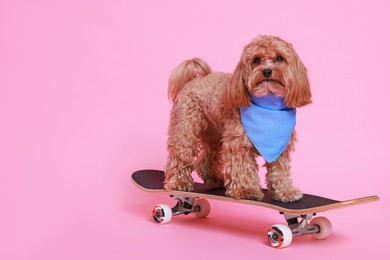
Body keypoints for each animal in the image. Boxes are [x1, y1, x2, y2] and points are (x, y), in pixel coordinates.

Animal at [163, 34, 312, 202]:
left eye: (279, 58)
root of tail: (193, 79)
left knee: (206, 159)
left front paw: (286, 191)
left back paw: (214, 179)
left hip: (214, 134)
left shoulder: (280, 147)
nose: (267, 71)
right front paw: (246, 190)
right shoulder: (238, 143)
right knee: (180, 154)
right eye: (256, 60)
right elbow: (242, 167)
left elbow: (280, 171)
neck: (268, 104)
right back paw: (179, 181)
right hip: (185, 129)